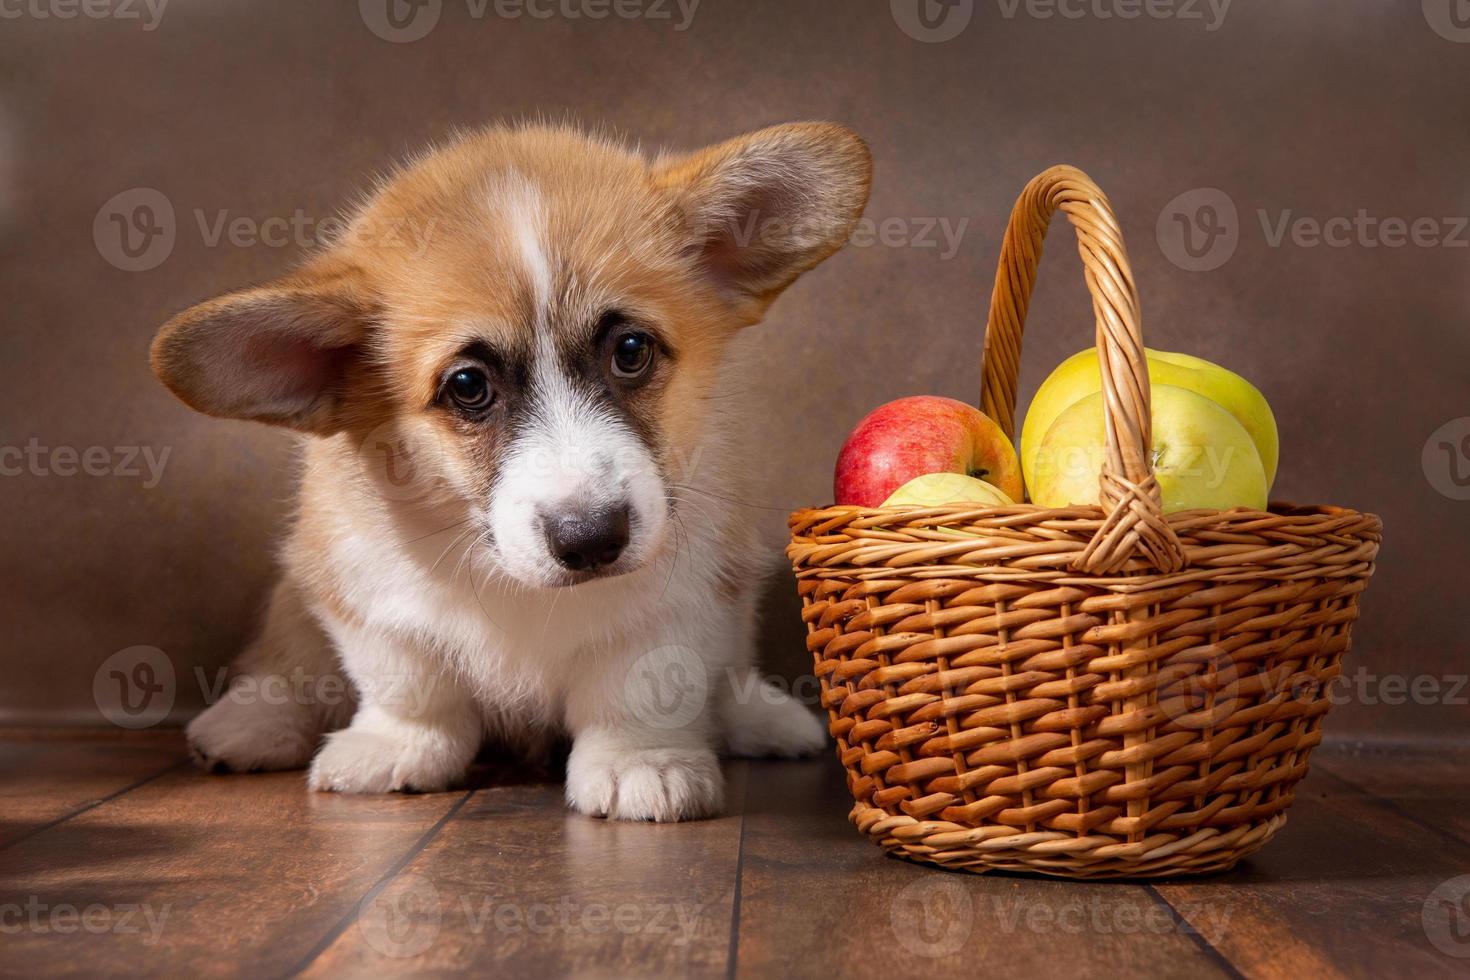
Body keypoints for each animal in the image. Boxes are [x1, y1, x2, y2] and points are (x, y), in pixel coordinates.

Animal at [149, 126, 870, 822]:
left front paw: (642, 762)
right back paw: (250, 721)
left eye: (631, 350)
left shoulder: (690, 594)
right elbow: (409, 680)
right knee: (290, 661)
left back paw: (763, 717)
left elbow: (641, 683)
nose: (591, 539)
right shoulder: (362, 592)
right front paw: (398, 745)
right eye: (468, 387)